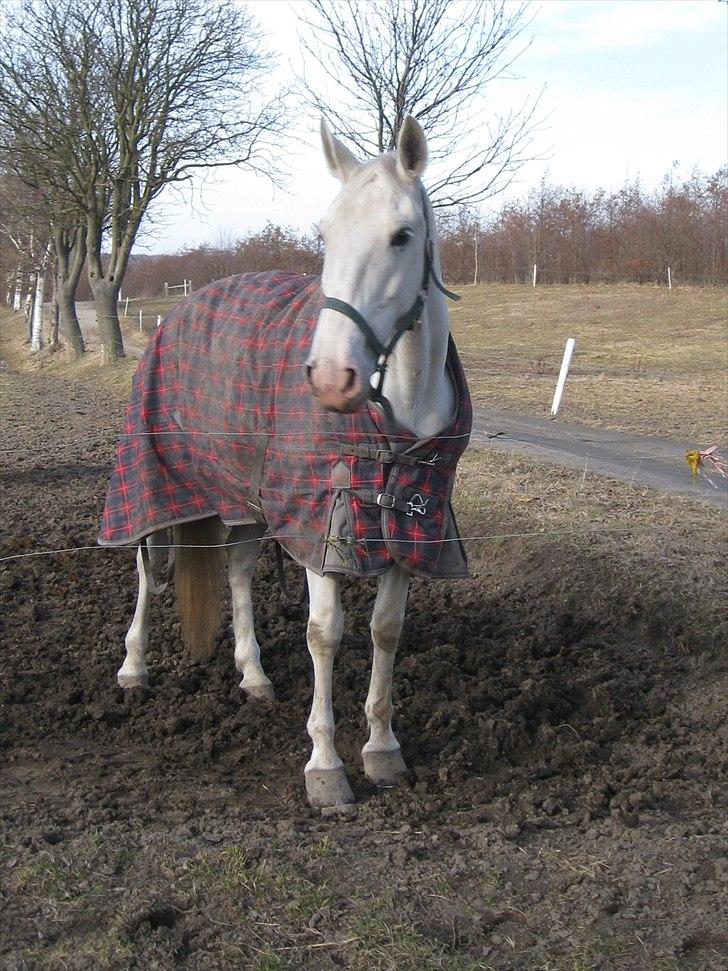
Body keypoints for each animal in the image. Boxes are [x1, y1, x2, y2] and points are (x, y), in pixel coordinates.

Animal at [117, 117, 464, 808]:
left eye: (402, 235)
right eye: (325, 233)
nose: (332, 379)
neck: (400, 412)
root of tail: (180, 311)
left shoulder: (407, 525)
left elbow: (386, 629)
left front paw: (382, 750)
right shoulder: (320, 527)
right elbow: (323, 634)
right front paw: (325, 767)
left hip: (246, 501)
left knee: (238, 574)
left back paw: (252, 675)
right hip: (162, 480)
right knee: (151, 572)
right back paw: (134, 666)